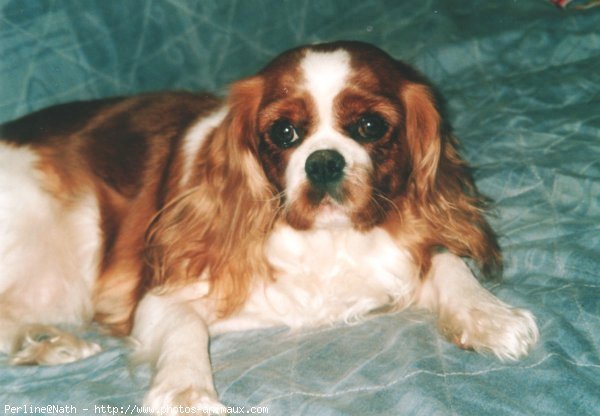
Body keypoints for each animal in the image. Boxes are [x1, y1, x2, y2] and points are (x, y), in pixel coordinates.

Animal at [0, 41, 536, 412]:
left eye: (369, 126)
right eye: (284, 133)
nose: (323, 162)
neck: (327, 240)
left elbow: (446, 262)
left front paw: (489, 316)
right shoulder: (160, 296)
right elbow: (186, 329)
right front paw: (186, 394)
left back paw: (47, 345)